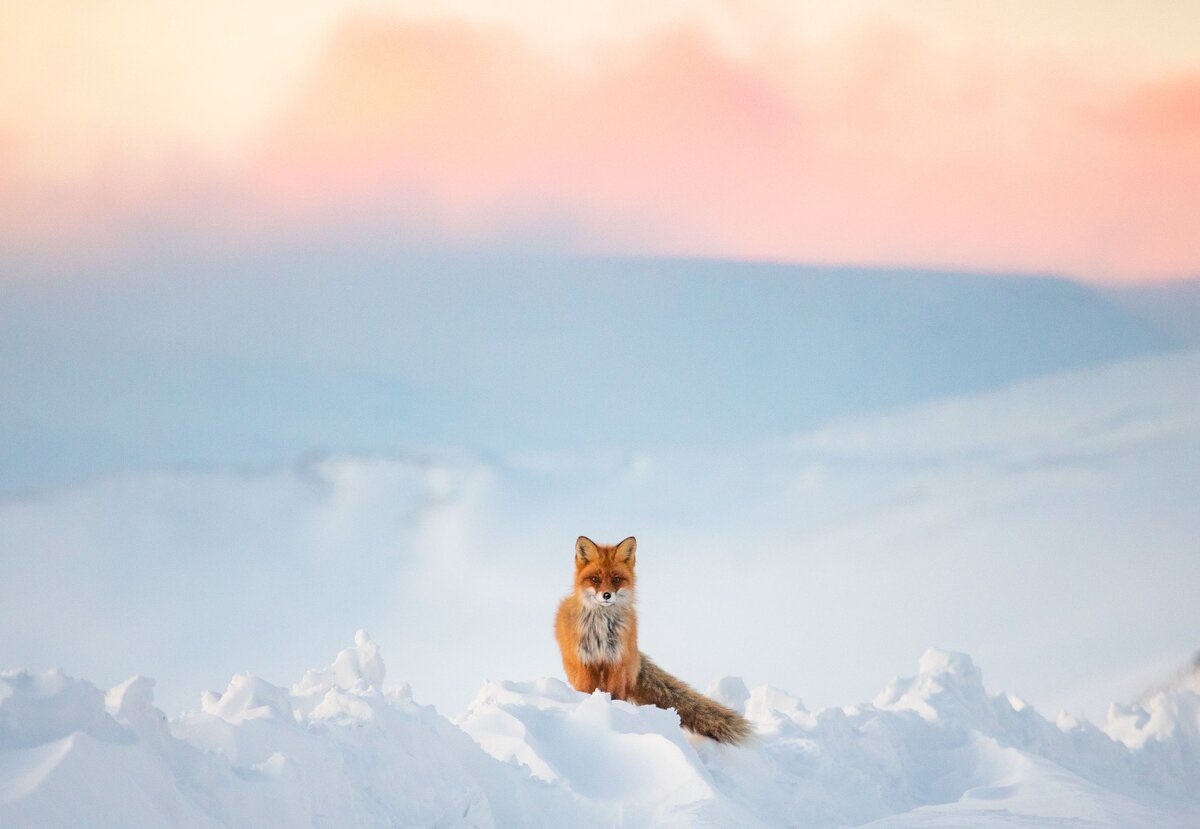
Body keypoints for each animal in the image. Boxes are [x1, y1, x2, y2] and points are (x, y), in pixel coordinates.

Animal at [554, 537, 748, 743]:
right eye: (595, 579)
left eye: (616, 579)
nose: (606, 595)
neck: (601, 629)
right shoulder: (586, 663)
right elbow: (585, 691)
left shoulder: (617, 663)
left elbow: (616, 695)